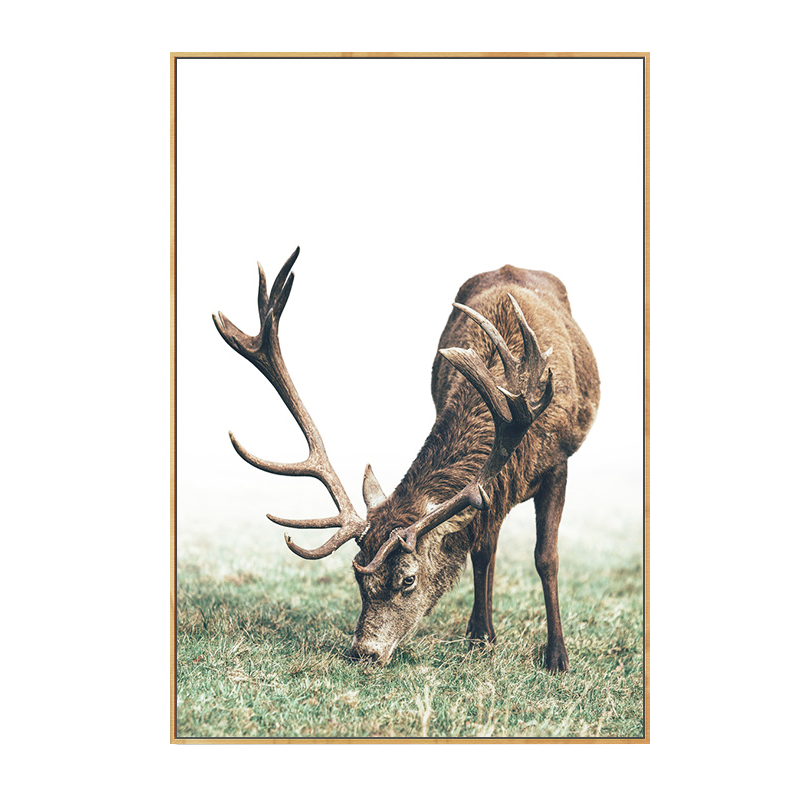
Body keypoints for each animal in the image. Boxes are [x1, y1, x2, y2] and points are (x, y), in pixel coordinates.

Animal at [213, 247, 599, 671]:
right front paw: (480, 636)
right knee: (485, 548)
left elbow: (546, 557)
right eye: (359, 577)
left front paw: (557, 656)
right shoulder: (491, 491)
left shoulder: (558, 462)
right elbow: (482, 548)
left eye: (408, 579)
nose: (364, 651)